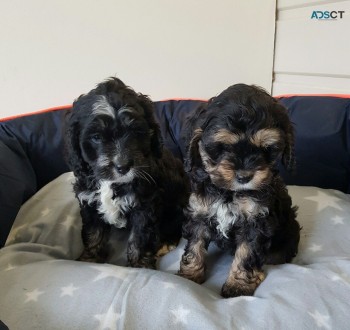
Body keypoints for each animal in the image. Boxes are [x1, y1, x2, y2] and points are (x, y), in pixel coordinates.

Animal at [66, 77, 191, 268]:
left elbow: (139, 238)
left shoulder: (145, 205)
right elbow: (93, 233)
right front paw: (89, 260)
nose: (123, 166)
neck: (111, 183)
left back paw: (166, 242)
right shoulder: (89, 201)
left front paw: (140, 266)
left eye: (135, 132)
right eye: (96, 137)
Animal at [178, 84, 300, 298]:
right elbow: (195, 244)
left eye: (267, 149)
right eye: (222, 147)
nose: (244, 176)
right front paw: (190, 275)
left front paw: (238, 285)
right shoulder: (200, 212)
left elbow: (246, 253)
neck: (229, 193)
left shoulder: (256, 221)